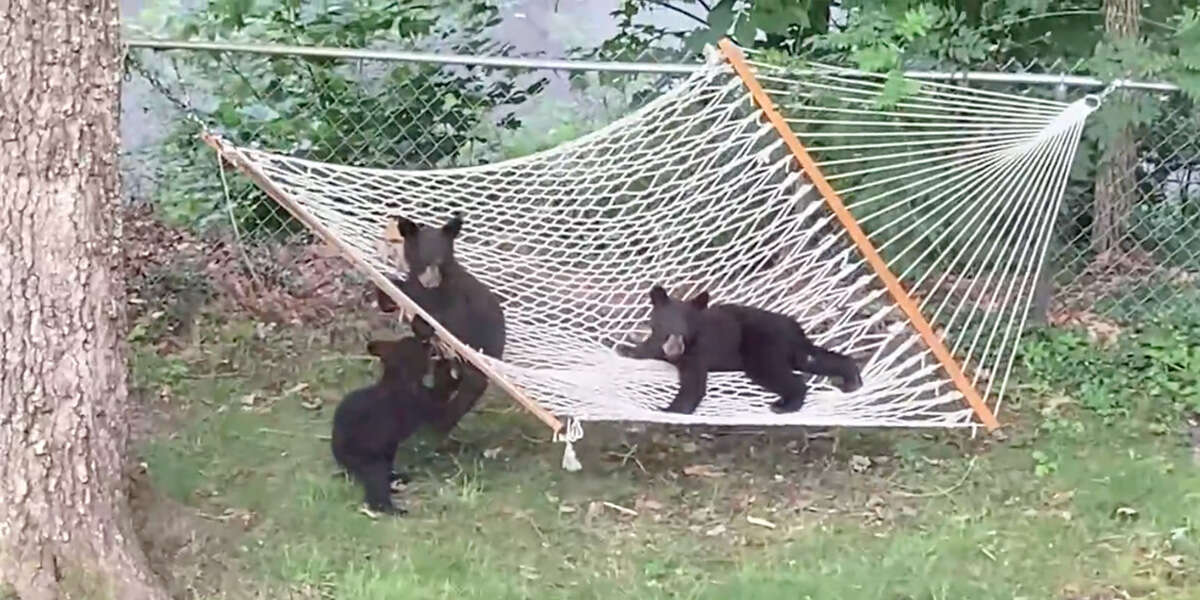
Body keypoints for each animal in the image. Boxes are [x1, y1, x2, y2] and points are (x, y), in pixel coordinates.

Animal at [330, 336, 453, 515]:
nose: (428, 341)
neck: (398, 379)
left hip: (386, 453)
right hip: (371, 462)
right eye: (419, 344)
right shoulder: (426, 404)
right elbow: (441, 399)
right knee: (376, 490)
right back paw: (392, 509)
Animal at [372, 213, 506, 436]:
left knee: (471, 385)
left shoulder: (458, 299)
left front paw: (423, 325)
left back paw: (442, 420)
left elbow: (452, 318)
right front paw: (387, 299)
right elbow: (401, 289)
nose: (431, 281)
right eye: (422, 259)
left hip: (484, 348)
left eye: (440, 260)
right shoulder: (415, 288)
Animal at [617, 285, 863, 414]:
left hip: (763, 348)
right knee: (814, 359)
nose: (674, 348)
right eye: (665, 323)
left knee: (778, 374)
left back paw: (784, 405)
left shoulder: (699, 352)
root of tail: (795, 327)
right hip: (791, 349)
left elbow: (693, 386)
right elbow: (646, 348)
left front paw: (669, 410)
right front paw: (626, 350)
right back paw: (851, 380)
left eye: (686, 325)